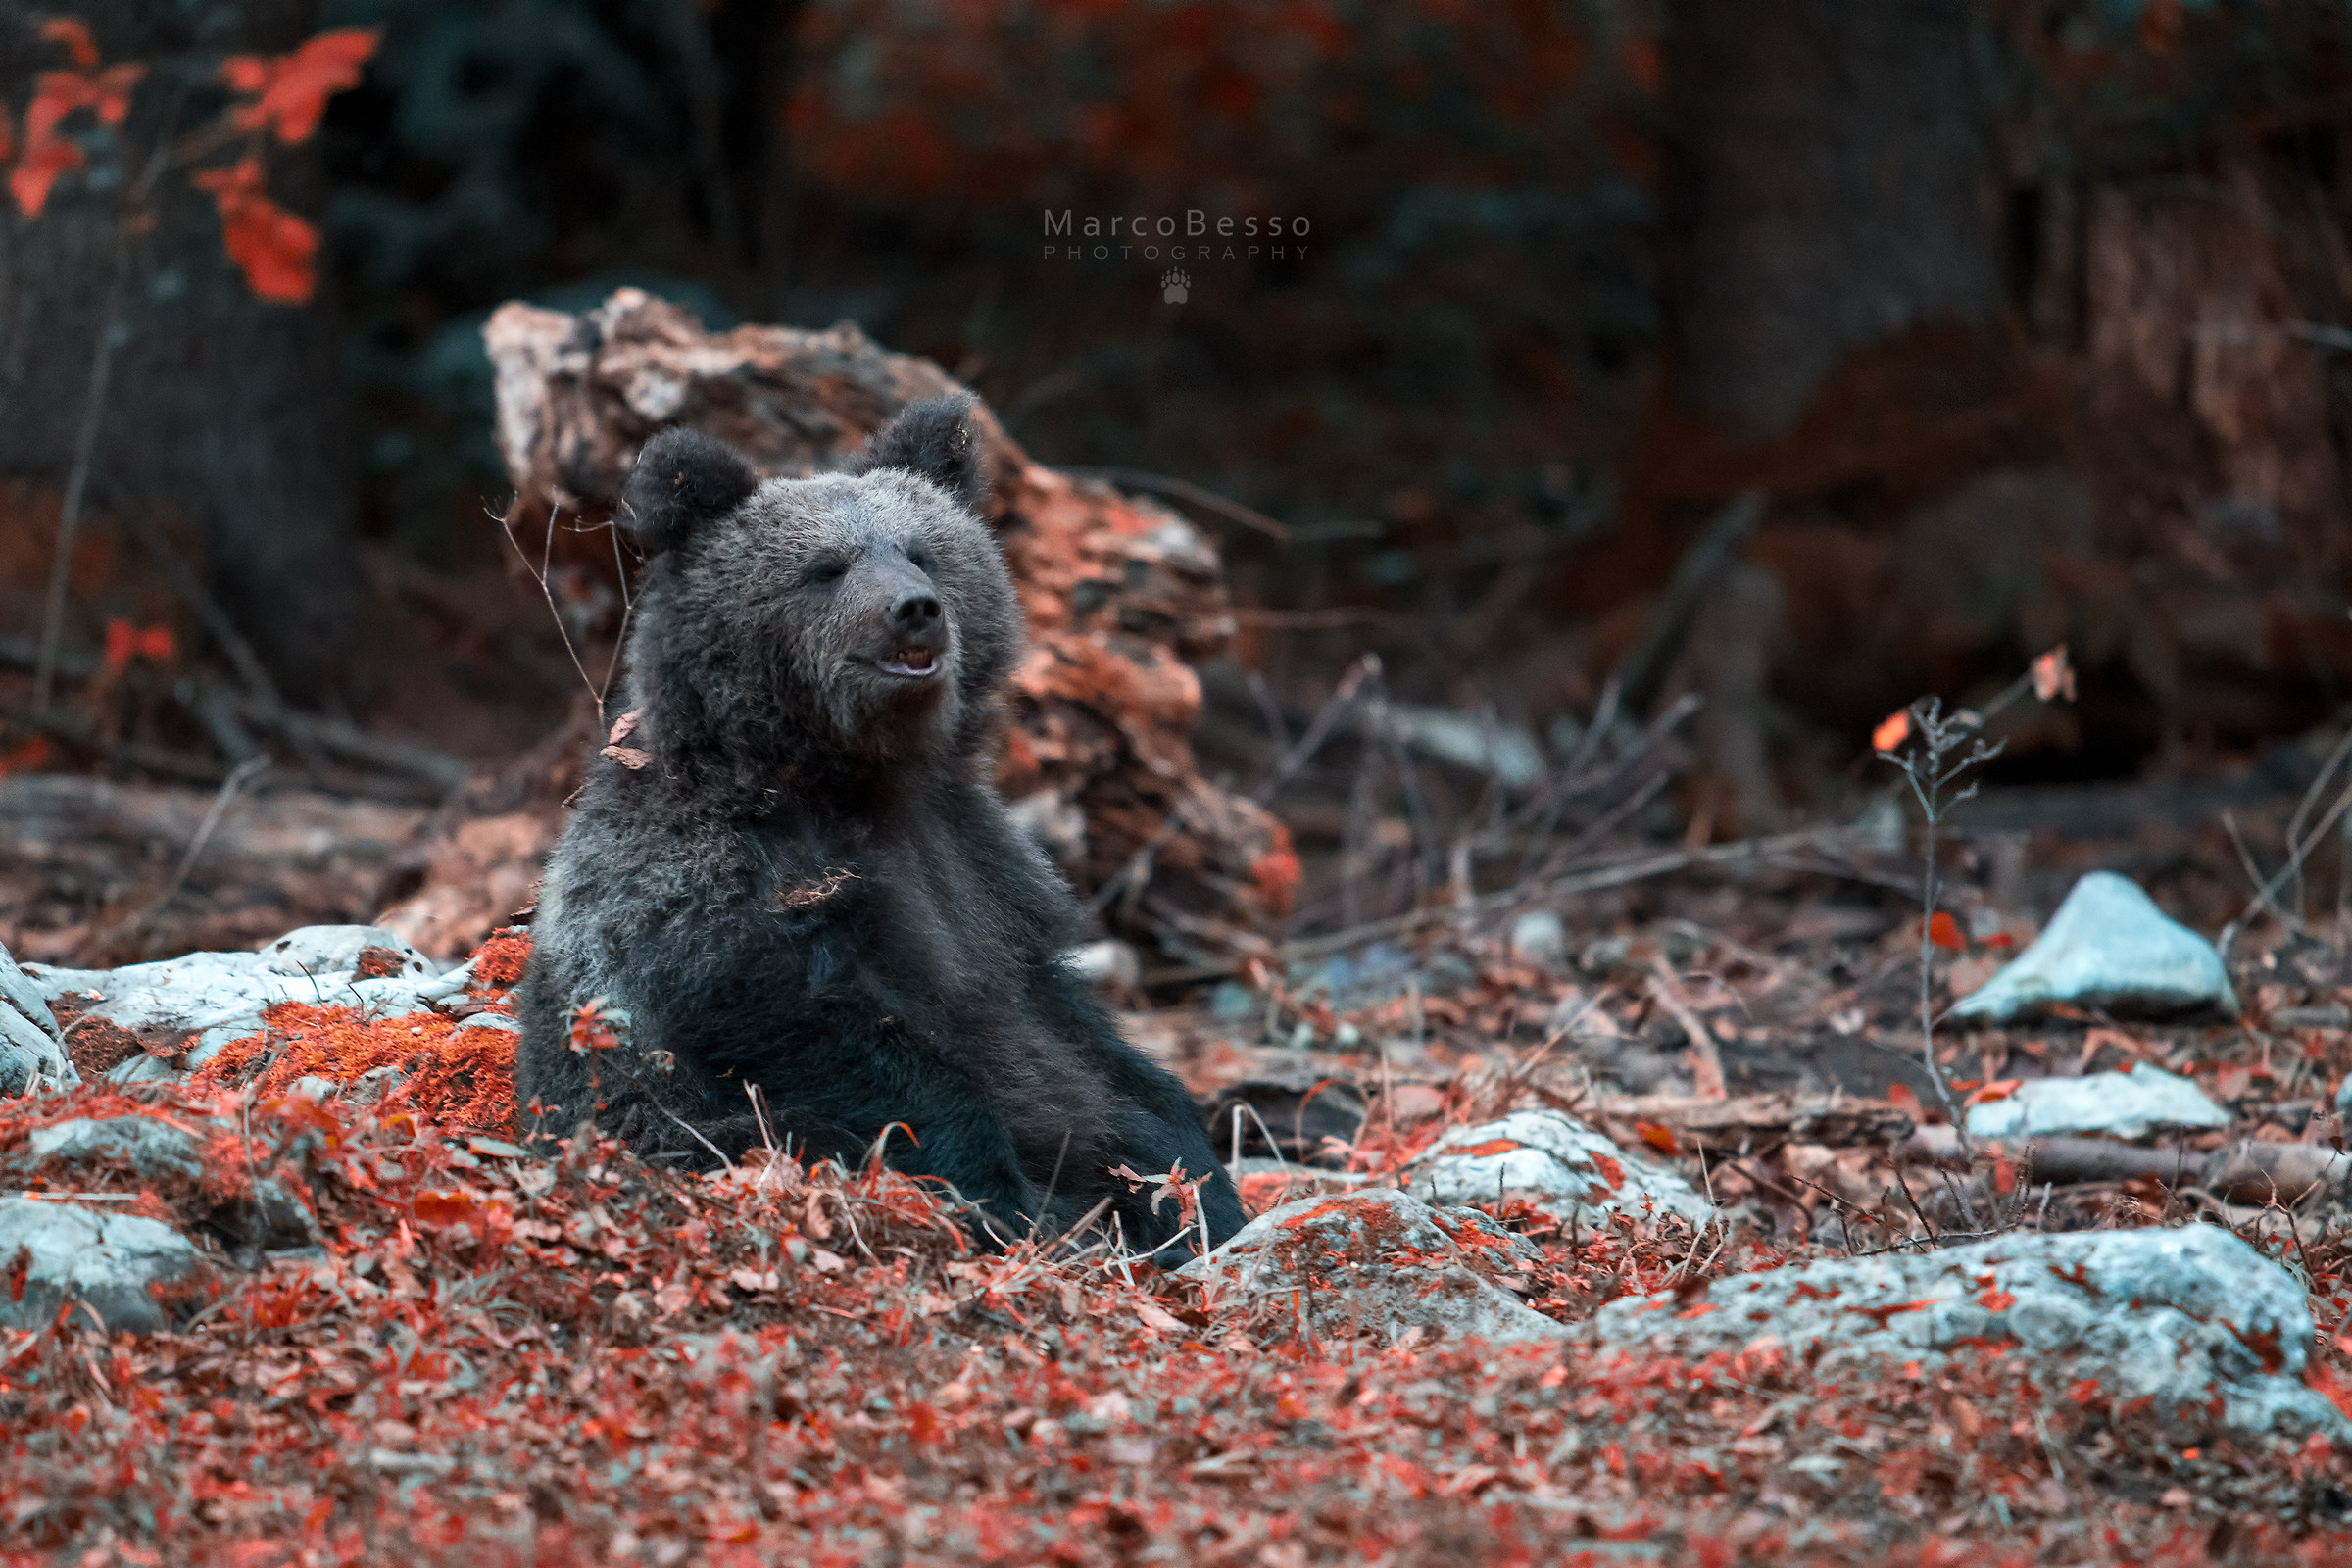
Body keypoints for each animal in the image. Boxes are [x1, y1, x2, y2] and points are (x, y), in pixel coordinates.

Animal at [514, 395, 1245, 1260]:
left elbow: (1081, 1039)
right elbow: (827, 1036)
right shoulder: (707, 888)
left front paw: (1202, 1181)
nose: (915, 610)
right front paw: (1002, 1194)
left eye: (922, 552)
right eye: (826, 567)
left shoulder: (976, 867)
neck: (854, 775)